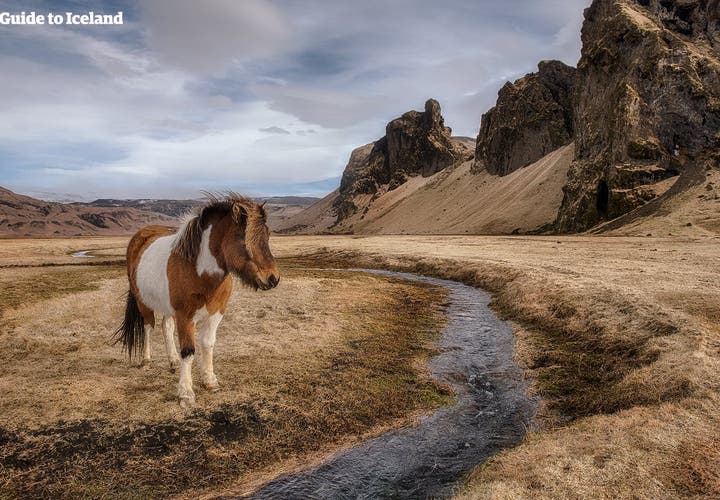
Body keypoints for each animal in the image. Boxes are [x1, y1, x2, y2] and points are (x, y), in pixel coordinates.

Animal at [113, 194, 279, 407]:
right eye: (242, 237)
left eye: (267, 235)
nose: (273, 278)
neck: (198, 270)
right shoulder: (185, 315)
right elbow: (188, 350)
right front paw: (186, 393)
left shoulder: (217, 312)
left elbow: (207, 344)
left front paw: (210, 380)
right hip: (143, 301)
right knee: (148, 326)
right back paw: (146, 360)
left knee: (166, 327)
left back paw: (173, 361)